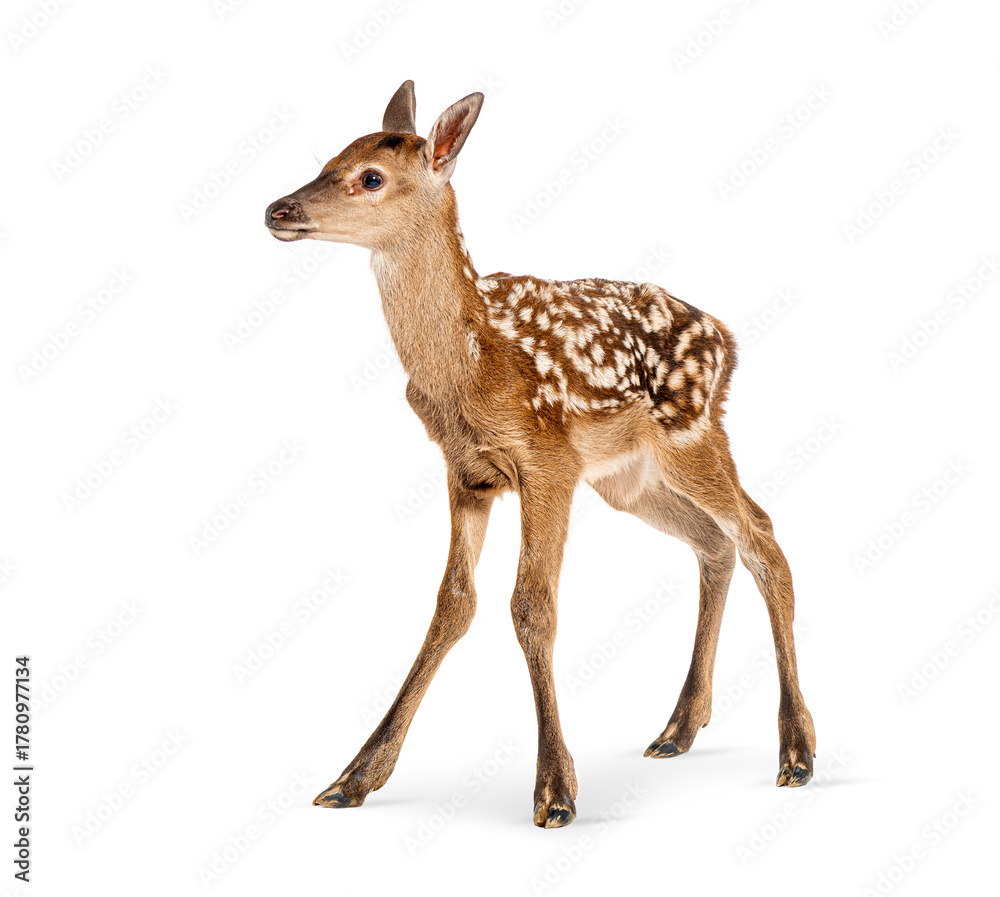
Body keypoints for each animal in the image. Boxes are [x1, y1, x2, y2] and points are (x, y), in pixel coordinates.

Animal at [264, 81, 816, 828]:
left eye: (370, 177)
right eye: (329, 159)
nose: (277, 209)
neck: (468, 366)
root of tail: (726, 338)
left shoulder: (548, 461)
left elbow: (532, 606)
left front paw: (555, 790)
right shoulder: (467, 470)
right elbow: (453, 604)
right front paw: (355, 776)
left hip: (691, 433)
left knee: (760, 534)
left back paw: (796, 751)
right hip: (629, 478)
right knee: (714, 543)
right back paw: (678, 728)